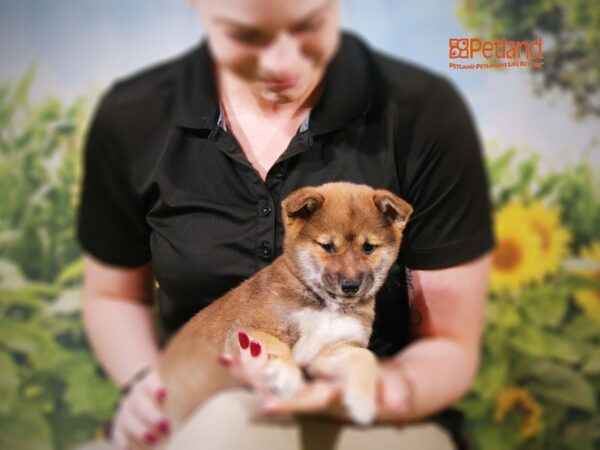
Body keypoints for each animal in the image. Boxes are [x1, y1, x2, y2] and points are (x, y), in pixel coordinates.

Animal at [159, 181, 412, 430]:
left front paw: (363, 401)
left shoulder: (329, 349)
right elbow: (274, 346)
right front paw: (287, 377)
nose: (350, 286)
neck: (326, 305)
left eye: (368, 247)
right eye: (328, 246)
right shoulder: (249, 329)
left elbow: (364, 358)